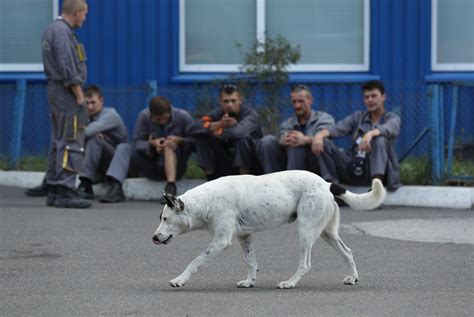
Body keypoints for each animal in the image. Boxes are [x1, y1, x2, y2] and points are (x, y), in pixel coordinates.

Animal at [152, 170, 386, 288]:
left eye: (165, 218)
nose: (153, 237)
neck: (206, 201)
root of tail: (326, 183)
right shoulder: (244, 236)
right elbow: (251, 261)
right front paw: (250, 281)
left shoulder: (221, 241)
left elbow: (196, 261)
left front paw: (180, 280)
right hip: (327, 233)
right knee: (347, 252)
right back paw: (353, 278)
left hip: (305, 231)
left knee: (305, 264)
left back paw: (290, 283)